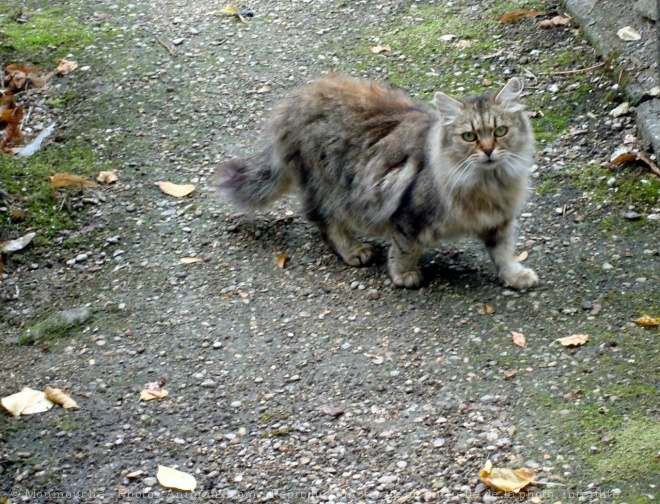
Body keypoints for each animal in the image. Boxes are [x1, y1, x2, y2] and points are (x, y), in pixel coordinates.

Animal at [214, 74, 540, 288]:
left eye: (500, 131)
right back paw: (355, 251)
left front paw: (514, 276)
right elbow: (405, 249)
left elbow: (504, 253)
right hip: (329, 186)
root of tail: (294, 100)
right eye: (469, 136)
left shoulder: (499, 222)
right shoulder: (409, 216)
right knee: (325, 221)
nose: (487, 151)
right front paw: (403, 275)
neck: (488, 185)